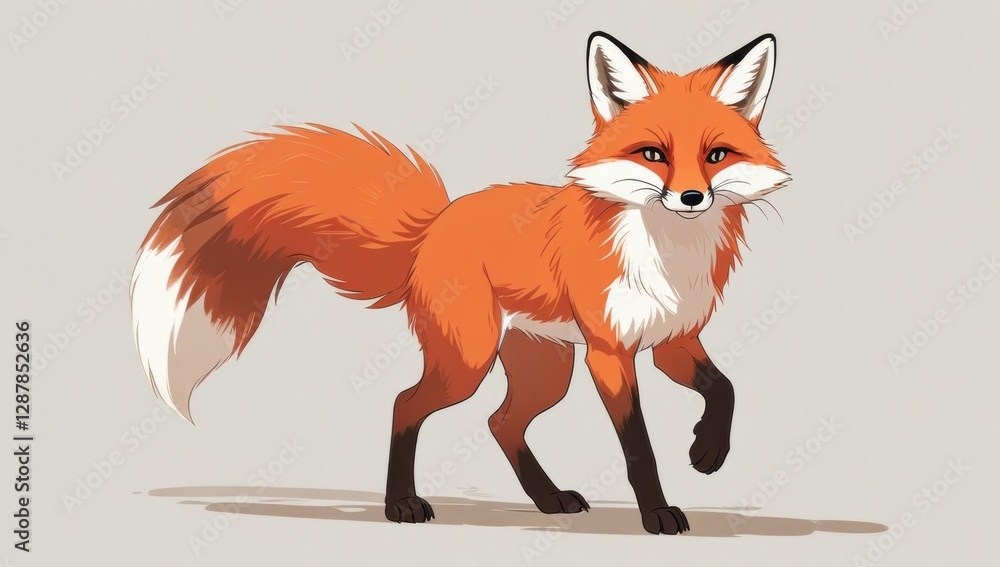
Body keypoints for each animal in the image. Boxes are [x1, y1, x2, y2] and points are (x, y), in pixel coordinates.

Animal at [129, 31, 790, 535]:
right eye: (653, 154)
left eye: (717, 156)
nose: (691, 197)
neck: (668, 255)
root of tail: (434, 225)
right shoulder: (610, 352)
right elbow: (639, 445)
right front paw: (657, 512)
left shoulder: (673, 340)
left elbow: (725, 389)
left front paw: (708, 451)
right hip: (469, 360)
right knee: (406, 404)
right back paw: (400, 504)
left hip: (544, 370)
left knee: (501, 423)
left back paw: (547, 499)